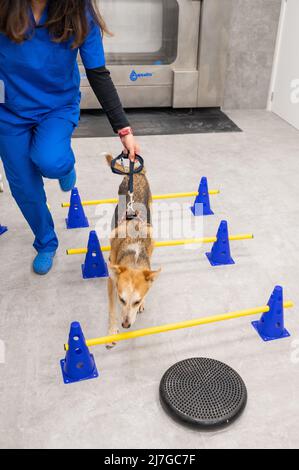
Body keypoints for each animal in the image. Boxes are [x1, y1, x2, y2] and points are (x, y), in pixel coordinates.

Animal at [105, 152, 162, 346]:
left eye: (136, 302)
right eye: (122, 299)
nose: (126, 325)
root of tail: (135, 172)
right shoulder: (112, 279)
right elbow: (112, 309)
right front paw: (111, 331)